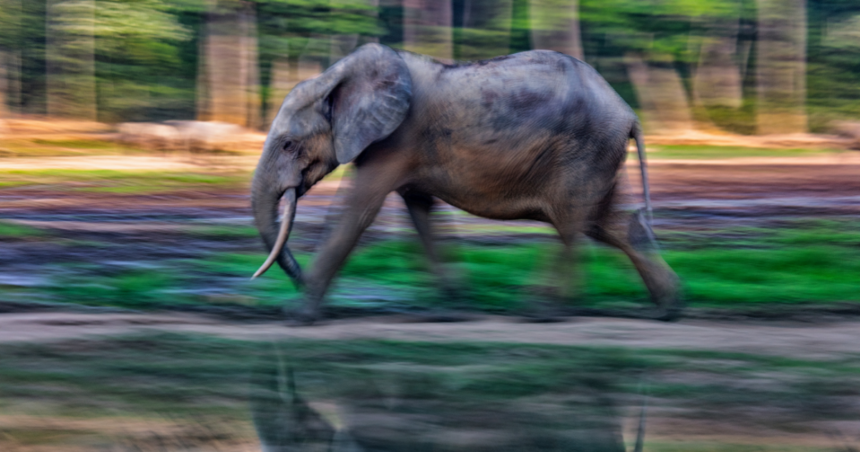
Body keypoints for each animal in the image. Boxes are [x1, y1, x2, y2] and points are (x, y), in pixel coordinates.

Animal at [252, 42, 680, 324]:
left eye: (289, 145)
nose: (295, 279)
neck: (335, 77)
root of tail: (628, 112)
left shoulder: (396, 140)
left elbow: (356, 211)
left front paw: (298, 315)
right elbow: (419, 208)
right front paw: (452, 308)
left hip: (585, 150)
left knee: (573, 224)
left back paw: (540, 311)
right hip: (599, 153)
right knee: (611, 224)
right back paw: (668, 307)